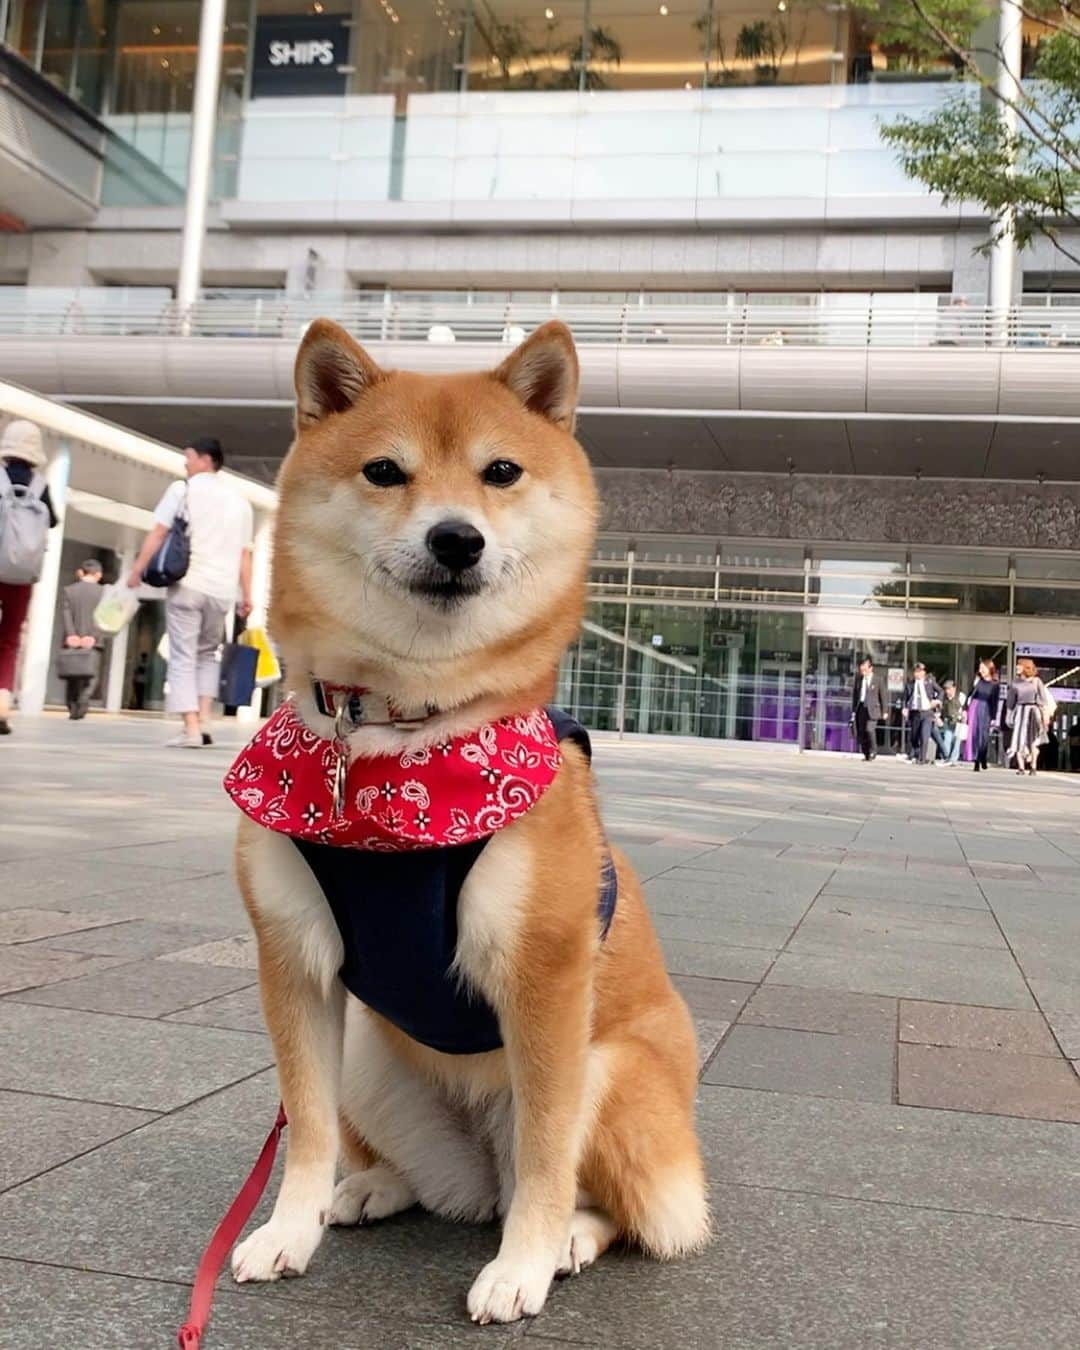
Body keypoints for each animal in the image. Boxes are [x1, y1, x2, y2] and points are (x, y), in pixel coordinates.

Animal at [228, 315, 707, 1317]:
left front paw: (521, 1266)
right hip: (373, 1056)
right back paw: (367, 1190)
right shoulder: (295, 961)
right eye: (384, 471)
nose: (456, 539)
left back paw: (565, 1241)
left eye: (501, 472)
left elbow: (549, 1156)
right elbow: (307, 1130)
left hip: (611, 1072)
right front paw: (288, 1230)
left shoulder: (545, 976)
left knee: (608, 1202)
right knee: (435, 1179)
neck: (399, 739)